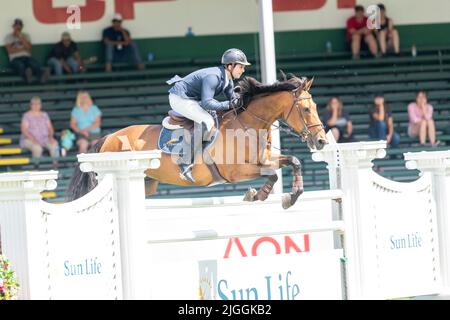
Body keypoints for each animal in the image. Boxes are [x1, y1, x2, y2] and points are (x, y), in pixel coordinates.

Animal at [67, 75, 326, 210]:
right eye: (306, 109)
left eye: (314, 106)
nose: (322, 141)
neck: (247, 125)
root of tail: (107, 138)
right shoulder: (236, 172)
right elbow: (272, 175)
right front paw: (255, 194)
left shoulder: (264, 160)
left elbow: (293, 161)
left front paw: (291, 197)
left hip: (147, 183)